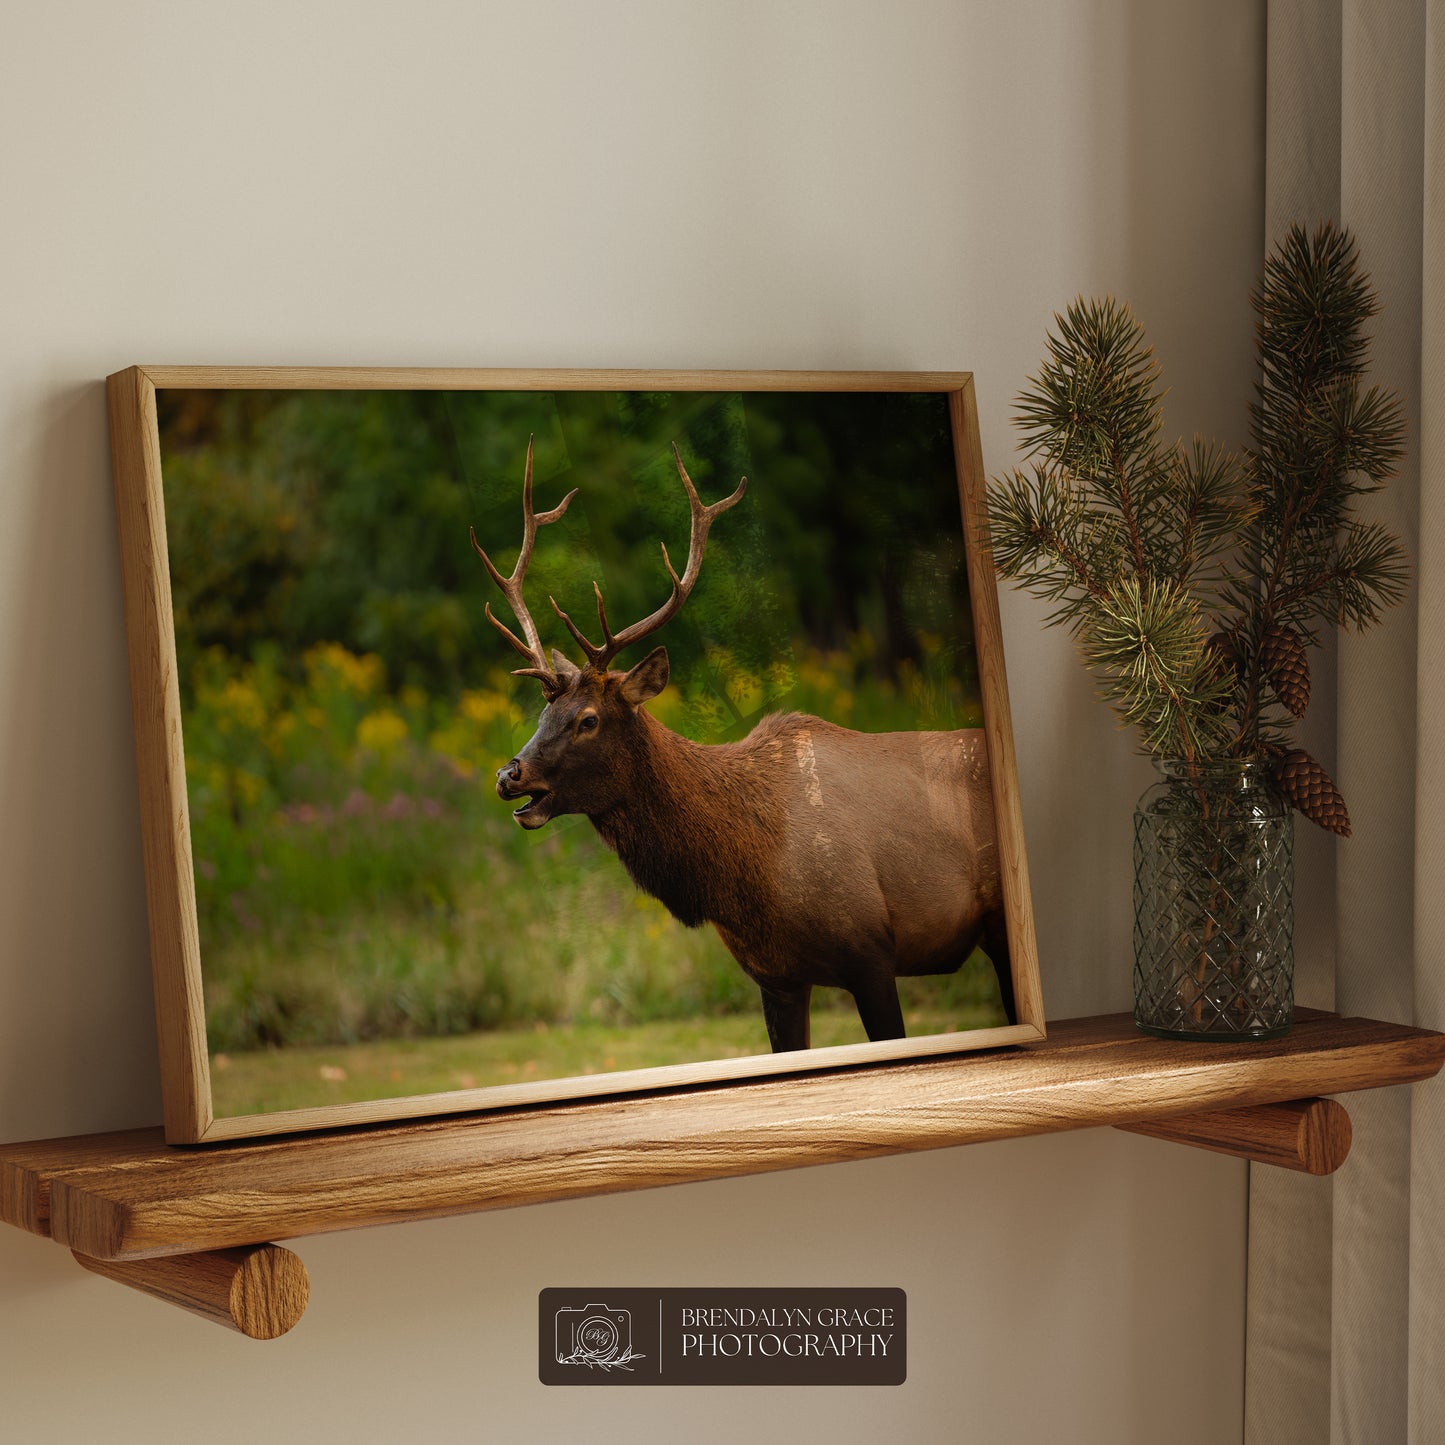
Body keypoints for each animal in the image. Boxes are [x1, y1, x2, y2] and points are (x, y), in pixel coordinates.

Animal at [471, 439, 1014, 1053]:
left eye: (587, 720)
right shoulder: (775, 977)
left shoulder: (873, 952)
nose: (509, 774)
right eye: (543, 712)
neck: (748, 876)